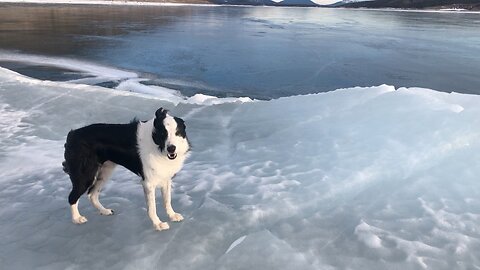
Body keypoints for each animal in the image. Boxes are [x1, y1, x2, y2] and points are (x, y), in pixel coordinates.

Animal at [62, 108, 190, 231]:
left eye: (177, 133)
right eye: (163, 133)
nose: (171, 148)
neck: (157, 145)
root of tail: (72, 134)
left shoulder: (166, 177)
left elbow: (167, 200)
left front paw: (172, 215)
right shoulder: (148, 183)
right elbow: (152, 207)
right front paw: (158, 224)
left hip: (105, 171)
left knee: (92, 194)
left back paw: (104, 211)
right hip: (86, 175)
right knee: (72, 197)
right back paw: (77, 219)